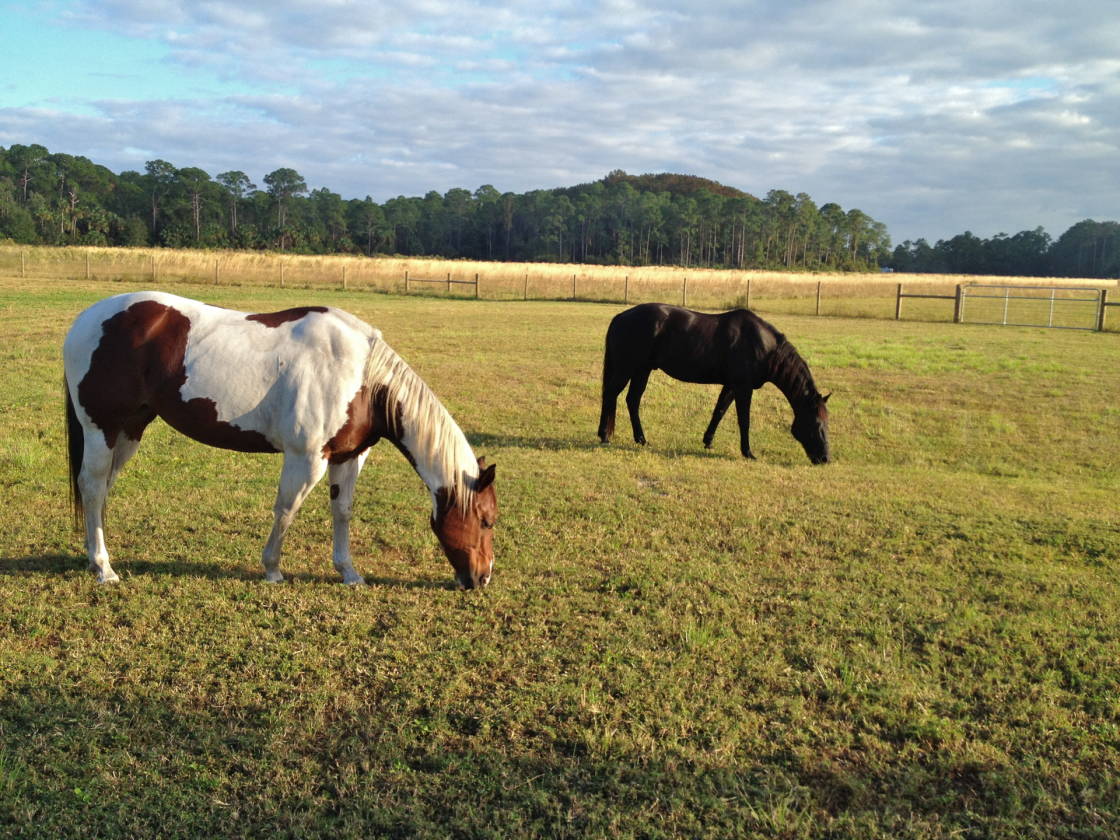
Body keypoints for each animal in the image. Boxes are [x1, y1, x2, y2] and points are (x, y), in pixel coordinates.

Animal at [63, 291, 497, 589]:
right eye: (486, 520)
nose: (481, 578)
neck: (362, 376)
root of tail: (86, 320)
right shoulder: (307, 458)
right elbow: (287, 509)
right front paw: (272, 569)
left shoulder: (349, 457)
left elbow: (342, 511)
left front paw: (349, 572)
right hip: (101, 428)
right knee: (92, 486)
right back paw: (104, 568)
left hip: (129, 430)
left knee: (100, 489)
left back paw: (95, 557)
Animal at [597, 303, 830, 464]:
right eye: (816, 423)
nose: (825, 458)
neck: (763, 346)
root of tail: (621, 316)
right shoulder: (743, 387)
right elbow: (744, 420)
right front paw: (748, 452)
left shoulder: (731, 385)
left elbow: (719, 411)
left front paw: (708, 441)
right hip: (627, 368)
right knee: (611, 394)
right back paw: (605, 435)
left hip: (642, 370)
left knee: (632, 400)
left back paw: (641, 439)